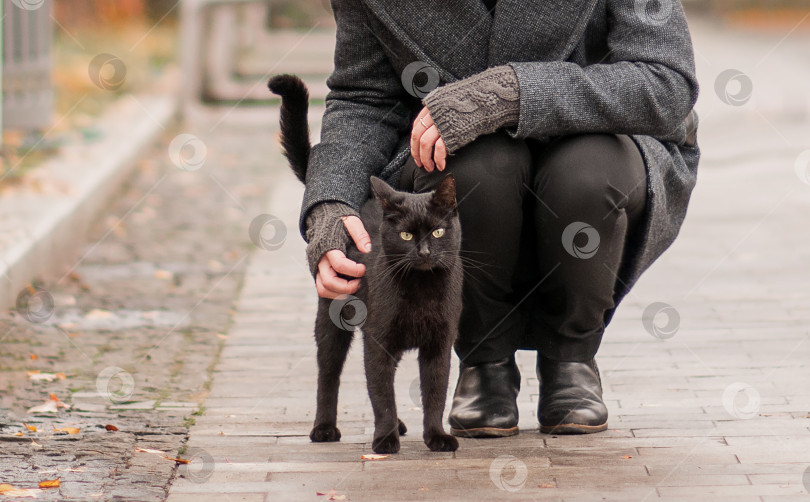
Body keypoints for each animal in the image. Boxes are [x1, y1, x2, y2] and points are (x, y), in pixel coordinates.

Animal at [268, 74, 460, 454]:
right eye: (405, 235)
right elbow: (381, 393)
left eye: (438, 231)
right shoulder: (378, 340)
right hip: (331, 321)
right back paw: (324, 428)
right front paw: (384, 439)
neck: (421, 288)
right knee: (328, 376)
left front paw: (437, 436)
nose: (424, 252)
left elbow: (435, 393)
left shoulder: (439, 344)